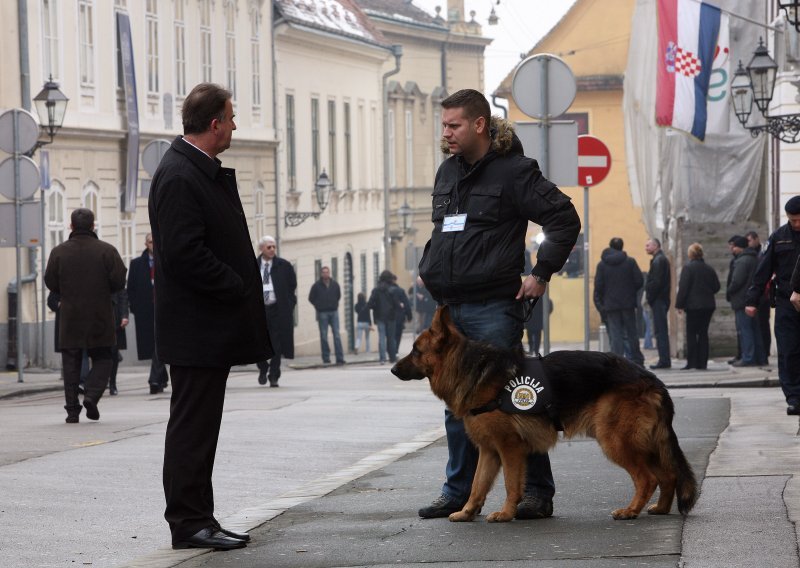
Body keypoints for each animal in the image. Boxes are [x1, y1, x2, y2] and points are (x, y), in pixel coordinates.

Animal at [390, 306, 696, 524]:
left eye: (415, 350)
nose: (392, 369)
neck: (470, 368)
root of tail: (651, 379)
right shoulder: (489, 451)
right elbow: (477, 485)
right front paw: (467, 512)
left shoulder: (509, 448)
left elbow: (511, 484)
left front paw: (506, 514)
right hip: (642, 444)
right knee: (668, 475)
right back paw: (660, 509)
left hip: (617, 442)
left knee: (648, 478)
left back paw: (630, 511)